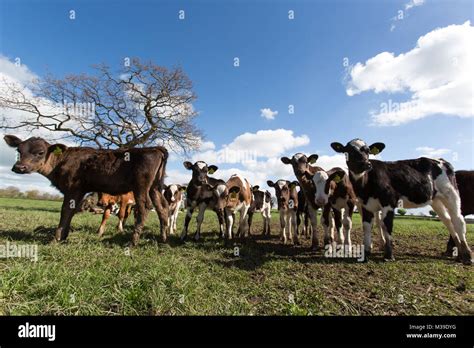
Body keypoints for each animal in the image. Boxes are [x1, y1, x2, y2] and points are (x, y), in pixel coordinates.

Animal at [332, 139, 472, 264]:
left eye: (368, 151)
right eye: (349, 151)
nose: (365, 164)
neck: (365, 184)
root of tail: (440, 160)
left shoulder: (389, 202)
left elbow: (387, 225)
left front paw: (388, 255)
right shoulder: (365, 205)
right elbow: (366, 227)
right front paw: (366, 253)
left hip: (451, 194)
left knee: (458, 221)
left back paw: (467, 256)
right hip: (436, 200)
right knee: (448, 221)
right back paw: (460, 254)